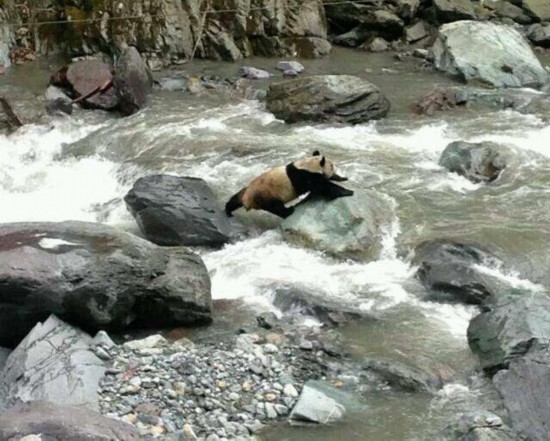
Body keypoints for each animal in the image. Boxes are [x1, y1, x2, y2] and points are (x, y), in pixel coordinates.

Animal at [226, 151, 356, 218]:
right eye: (332, 166)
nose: (336, 172)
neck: (308, 164)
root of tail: (247, 201)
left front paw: (342, 178)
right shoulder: (305, 176)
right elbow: (323, 187)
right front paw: (347, 191)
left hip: (248, 191)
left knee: (235, 198)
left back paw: (228, 211)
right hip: (265, 195)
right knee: (276, 207)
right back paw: (289, 211)